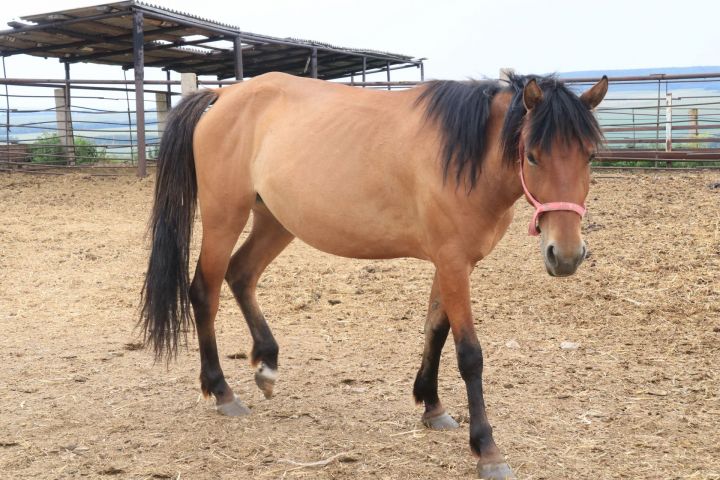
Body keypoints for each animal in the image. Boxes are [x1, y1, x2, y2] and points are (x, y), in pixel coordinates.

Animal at [139, 69, 608, 478]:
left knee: (241, 275)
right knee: (205, 292)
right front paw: (487, 449)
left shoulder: (451, 263)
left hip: (275, 220)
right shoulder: (453, 262)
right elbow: (469, 355)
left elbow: (435, 330)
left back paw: (267, 365)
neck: (464, 155)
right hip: (224, 218)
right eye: (532, 155)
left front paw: (431, 405)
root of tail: (224, 96)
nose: (566, 255)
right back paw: (222, 391)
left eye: (589, 155)